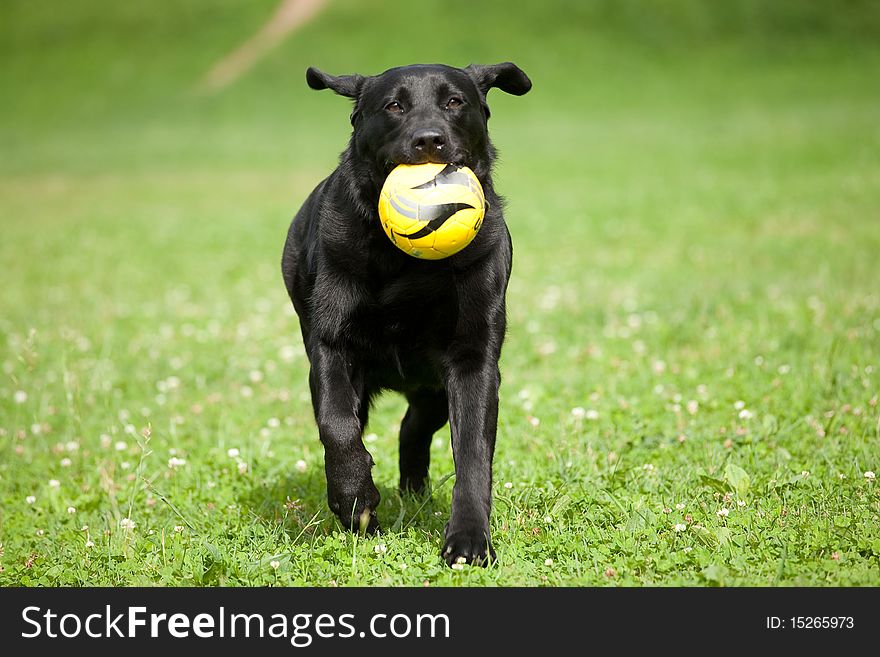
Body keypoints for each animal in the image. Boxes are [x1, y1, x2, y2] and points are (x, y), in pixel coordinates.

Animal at [282, 62, 528, 564]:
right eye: (394, 105)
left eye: (454, 101)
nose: (429, 141)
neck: (408, 267)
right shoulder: (331, 348)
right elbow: (337, 427)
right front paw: (354, 498)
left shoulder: (474, 361)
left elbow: (473, 453)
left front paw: (469, 540)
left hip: (432, 388)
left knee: (413, 428)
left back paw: (415, 492)